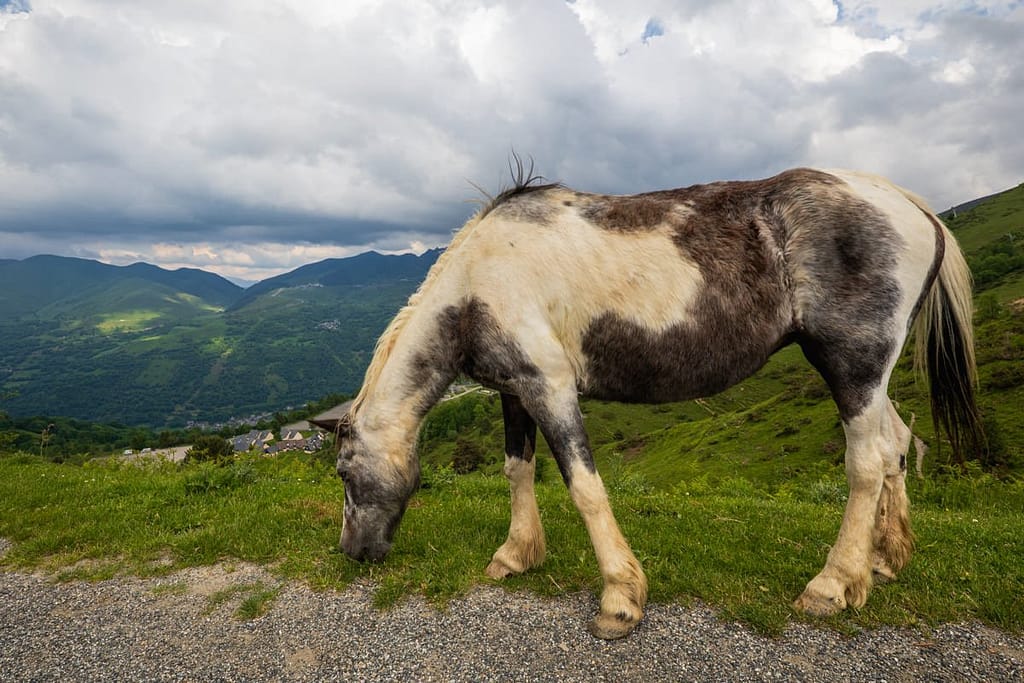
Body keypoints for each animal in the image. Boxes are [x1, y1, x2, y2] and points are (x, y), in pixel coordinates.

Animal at [314, 165, 984, 639]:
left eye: (344, 472)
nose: (353, 554)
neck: (476, 288)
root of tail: (909, 204)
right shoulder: (513, 391)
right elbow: (516, 469)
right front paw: (516, 554)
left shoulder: (550, 385)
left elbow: (584, 486)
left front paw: (619, 598)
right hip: (870, 376)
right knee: (898, 446)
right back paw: (885, 560)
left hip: (852, 366)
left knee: (867, 464)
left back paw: (832, 584)